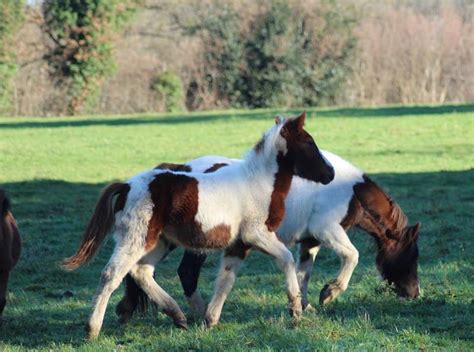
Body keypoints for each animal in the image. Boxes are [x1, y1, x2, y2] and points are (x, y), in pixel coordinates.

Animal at [63, 113, 336, 338]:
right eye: (309, 143)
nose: (330, 173)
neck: (258, 184)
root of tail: (127, 186)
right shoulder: (257, 234)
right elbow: (287, 260)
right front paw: (296, 310)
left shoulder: (239, 245)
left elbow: (226, 279)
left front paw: (210, 320)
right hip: (137, 238)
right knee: (112, 274)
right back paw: (92, 329)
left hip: (160, 241)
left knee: (142, 272)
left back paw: (179, 316)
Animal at [116, 148, 420, 322]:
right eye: (411, 257)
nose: (414, 293)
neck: (349, 191)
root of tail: (181, 169)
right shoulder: (327, 230)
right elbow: (352, 256)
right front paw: (329, 293)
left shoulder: (310, 242)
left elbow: (303, 274)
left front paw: (304, 306)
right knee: (185, 273)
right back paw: (199, 314)